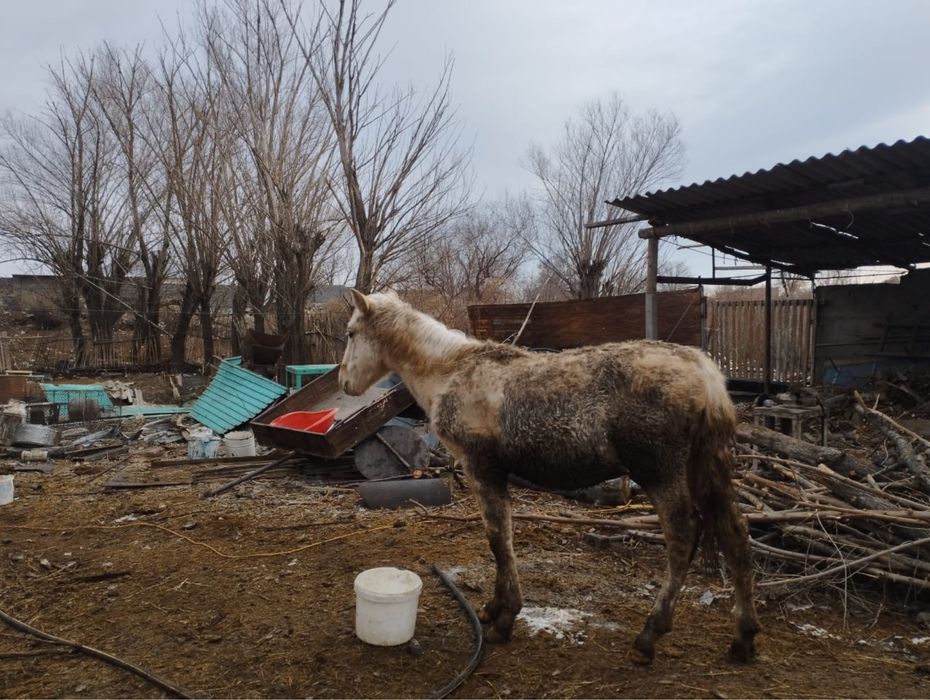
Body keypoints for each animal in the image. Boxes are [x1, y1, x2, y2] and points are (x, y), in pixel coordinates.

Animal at [339, 289, 760, 664]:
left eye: (351, 332)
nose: (344, 383)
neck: (448, 372)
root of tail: (708, 376)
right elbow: (502, 537)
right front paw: (493, 608)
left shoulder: (481, 467)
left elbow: (498, 539)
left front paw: (505, 620)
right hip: (706, 465)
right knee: (735, 533)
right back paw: (744, 639)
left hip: (660, 471)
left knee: (683, 537)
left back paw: (648, 637)